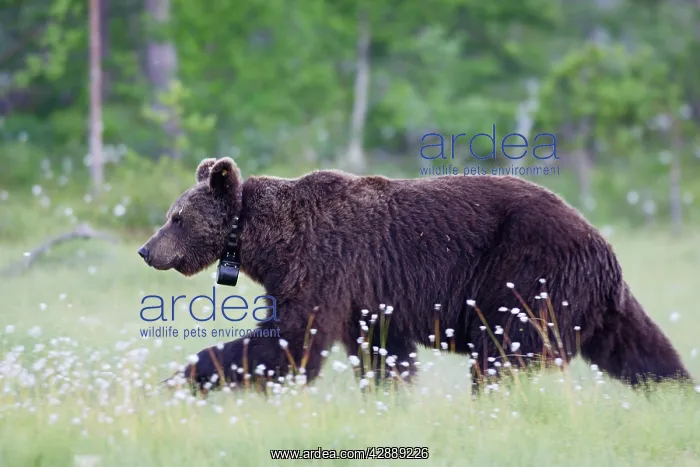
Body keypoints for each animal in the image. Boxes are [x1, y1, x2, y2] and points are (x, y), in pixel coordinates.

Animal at [138, 156, 691, 393]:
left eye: (176, 217)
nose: (147, 250)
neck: (268, 240)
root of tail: (602, 243)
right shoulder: (368, 295)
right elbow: (383, 352)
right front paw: (389, 393)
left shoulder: (326, 265)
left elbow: (292, 341)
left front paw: (181, 377)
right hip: (594, 301)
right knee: (640, 349)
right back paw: (676, 392)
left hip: (529, 274)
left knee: (502, 354)